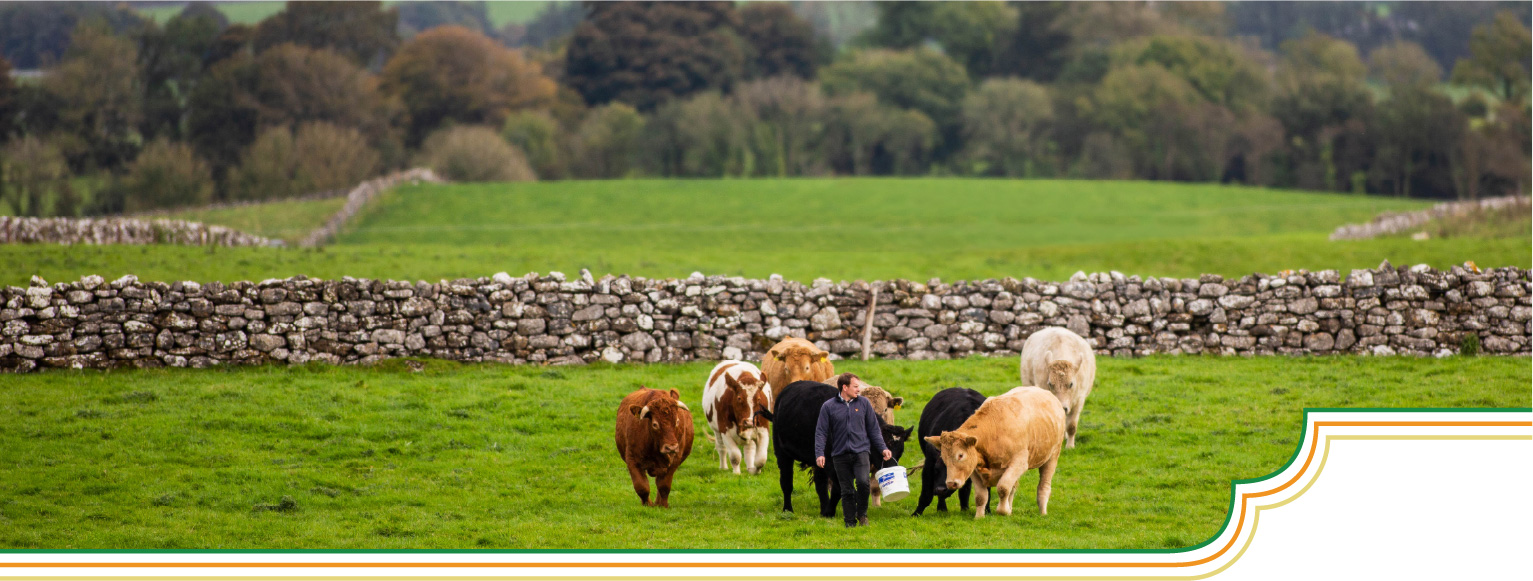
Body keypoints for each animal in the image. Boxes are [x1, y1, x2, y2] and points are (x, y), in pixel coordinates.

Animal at [919, 386, 1066, 518]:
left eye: (960, 455)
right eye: (943, 458)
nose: (950, 483)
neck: (994, 433)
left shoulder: (1018, 463)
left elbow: (1003, 488)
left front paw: (1003, 511)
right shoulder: (975, 469)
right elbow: (981, 496)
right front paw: (980, 516)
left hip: (1052, 456)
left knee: (1043, 486)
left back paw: (1042, 512)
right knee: (1013, 487)